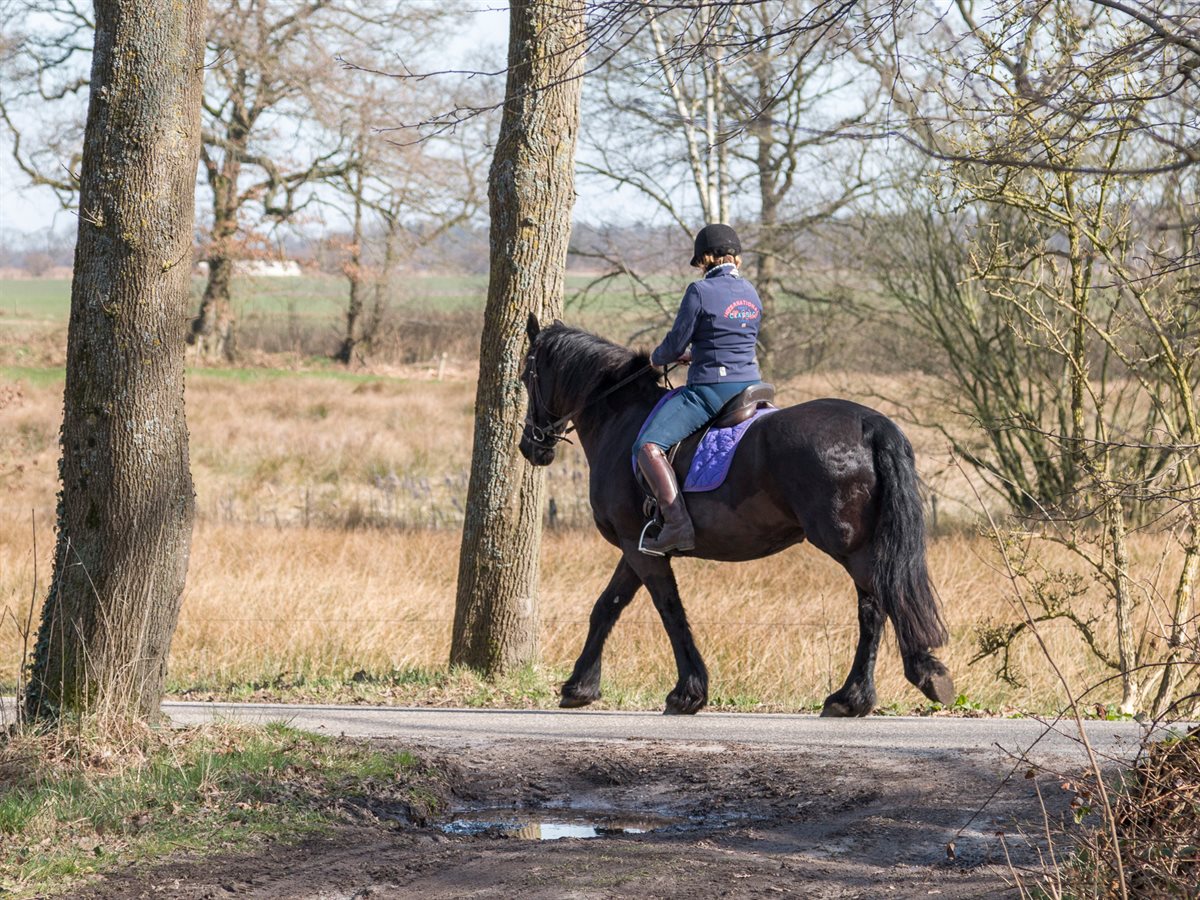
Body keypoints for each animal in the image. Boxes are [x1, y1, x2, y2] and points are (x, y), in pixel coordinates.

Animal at [518, 316, 955, 720]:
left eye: (526, 375)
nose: (530, 447)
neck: (620, 418)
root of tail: (869, 424)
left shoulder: (640, 549)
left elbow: (669, 610)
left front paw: (687, 693)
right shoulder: (637, 547)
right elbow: (607, 606)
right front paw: (579, 687)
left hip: (850, 546)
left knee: (878, 604)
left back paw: (886, 687)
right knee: (877, 605)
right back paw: (861, 696)